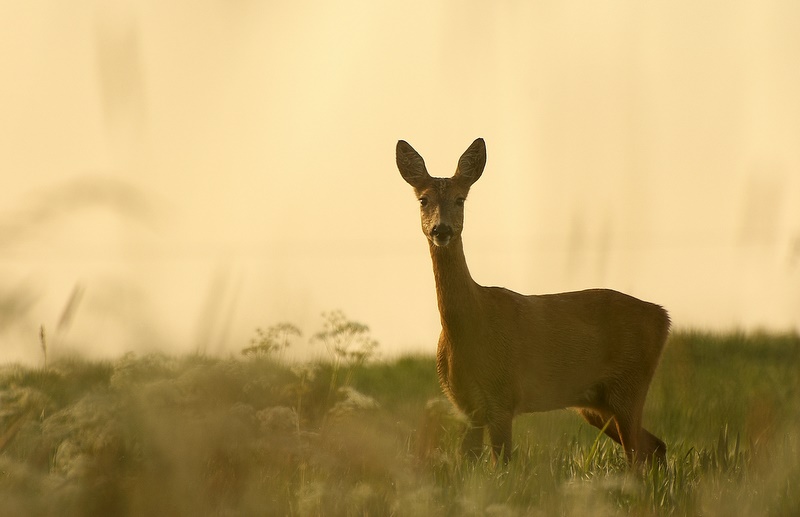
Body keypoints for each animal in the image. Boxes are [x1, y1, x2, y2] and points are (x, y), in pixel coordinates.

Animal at [398, 139, 668, 466]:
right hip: (596, 402)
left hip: (630, 385)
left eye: (460, 199)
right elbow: (469, 461)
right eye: (423, 200)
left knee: (638, 455)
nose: (442, 229)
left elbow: (503, 463)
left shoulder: (503, 395)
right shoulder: (467, 406)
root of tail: (663, 316)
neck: (469, 329)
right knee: (655, 446)